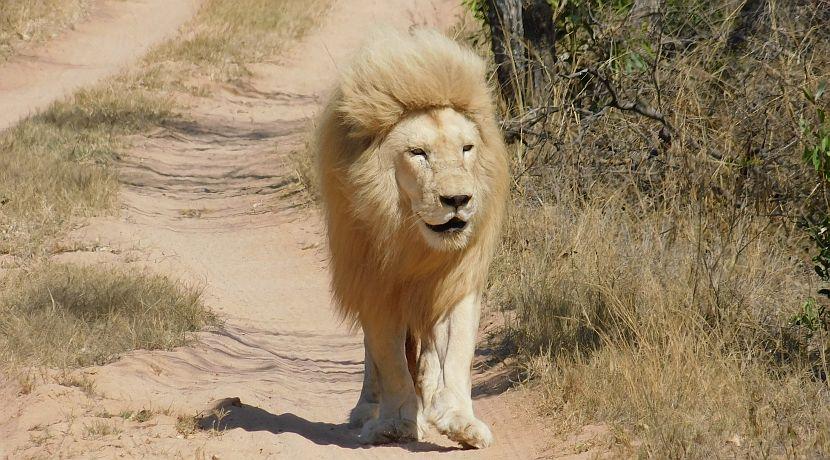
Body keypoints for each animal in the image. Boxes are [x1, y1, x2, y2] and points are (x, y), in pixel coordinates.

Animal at [314, 29, 508, 449]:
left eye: (467, 148)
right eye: (418, 153)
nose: (458, 200)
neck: (414, 240)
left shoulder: (456, 281)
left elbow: (456, 353)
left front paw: (459, 420)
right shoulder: (375, 286)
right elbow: (389, 359)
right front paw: (396, 423)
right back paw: (369, 410)